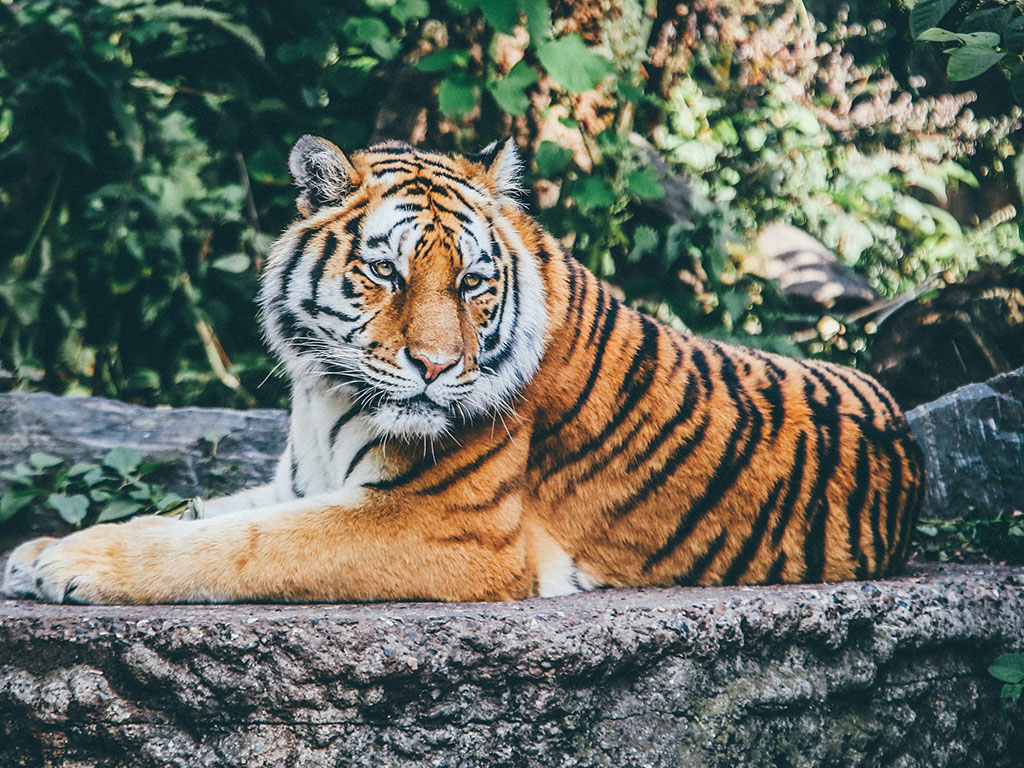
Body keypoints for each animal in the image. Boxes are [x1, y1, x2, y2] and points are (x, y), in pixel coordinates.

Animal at [3, 136, 926, 605]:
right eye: (386, 273)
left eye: (474, 283)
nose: (437, 366)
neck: (322, 393)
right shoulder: (298, 481)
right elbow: (197, 513)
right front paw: (38, 549)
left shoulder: (442, 526)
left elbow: (239, 545)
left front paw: (71, 566)